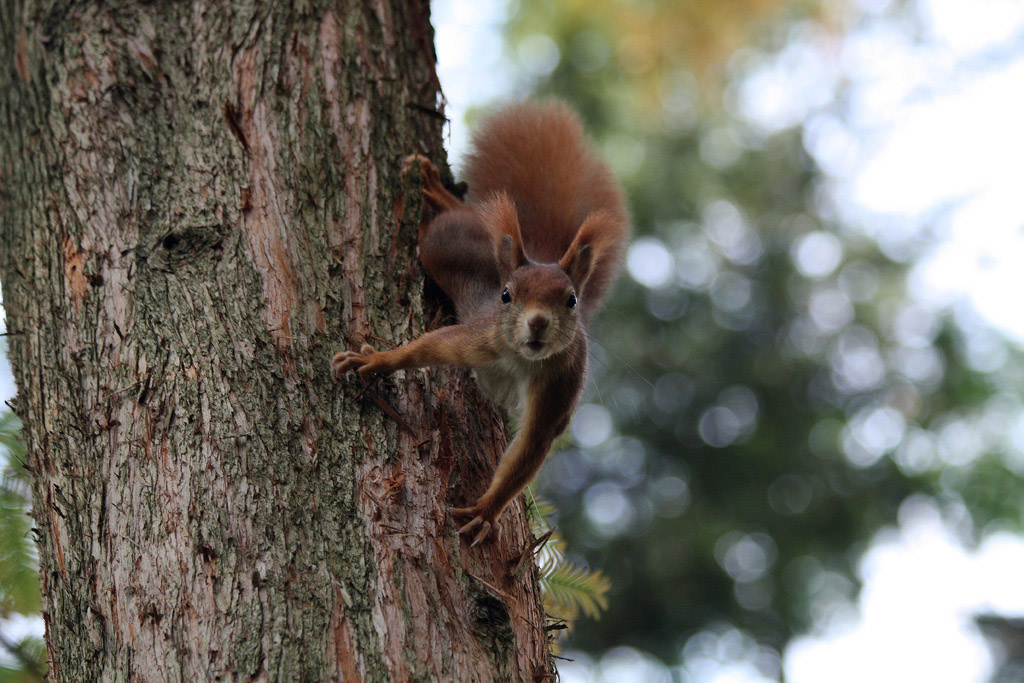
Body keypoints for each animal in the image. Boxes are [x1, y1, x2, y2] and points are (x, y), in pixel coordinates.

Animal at [331, 100, 626, 544]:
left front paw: (486, 511)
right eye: (506, 296)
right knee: (452, 219)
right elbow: (425, 347)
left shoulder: (559, 387)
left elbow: (527, 454)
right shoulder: (478, 338)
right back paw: (433, 188)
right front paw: (375, 361)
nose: (537, 323)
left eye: (571, 300)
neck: (521, 361)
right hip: (447, 245)